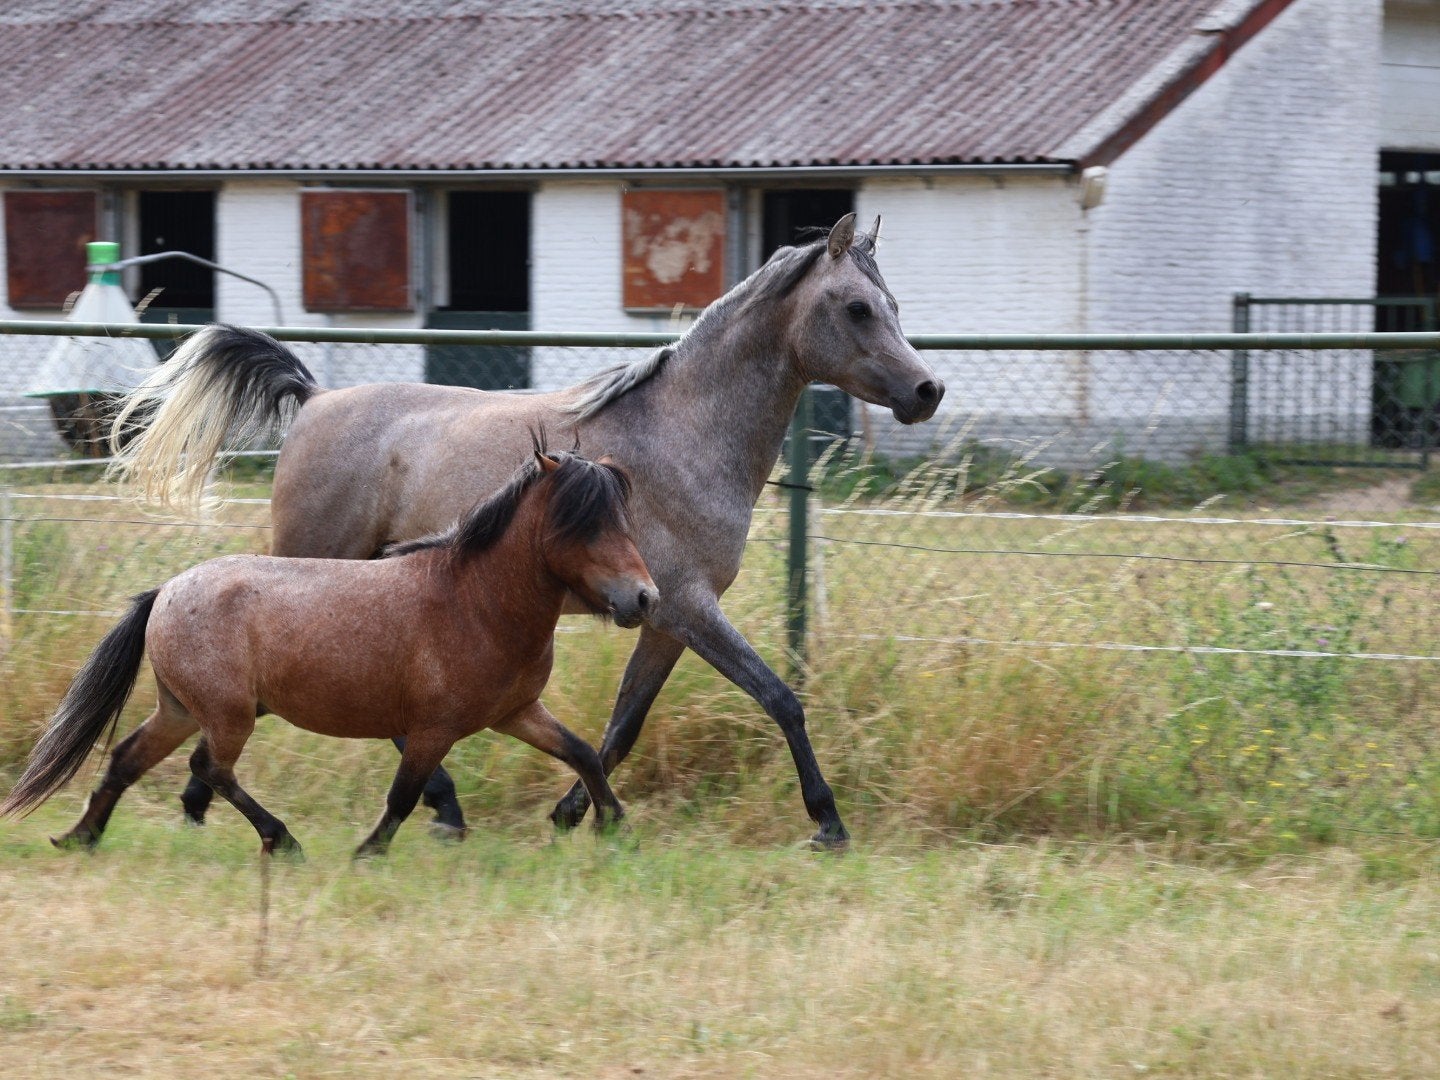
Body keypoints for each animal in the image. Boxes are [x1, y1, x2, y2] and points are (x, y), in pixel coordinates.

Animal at [1, 446, 656, 859]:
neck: (475, 602)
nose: (645, 597)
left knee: (128, 760)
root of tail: (166, 591)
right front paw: (368, 851)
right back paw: (282, 840)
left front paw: (616, 827)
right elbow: (405, 793)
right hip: (228, 716)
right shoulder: (433, 728)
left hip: (182, 710)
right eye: (585, 524)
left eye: (624, 520)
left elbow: (583, 753)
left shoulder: (516, 714)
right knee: (209, 768)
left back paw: (81, 838)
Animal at [108, 213, 945, 849]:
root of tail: (313, 399)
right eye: (857, 308)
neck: (681, 434)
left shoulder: (663, 617)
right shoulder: (688, 605)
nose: (926, 390)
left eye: (895, 304)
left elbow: (622, 727)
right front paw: (827, 823)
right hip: (315, 568)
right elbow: (779, 697)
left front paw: (576, 813)